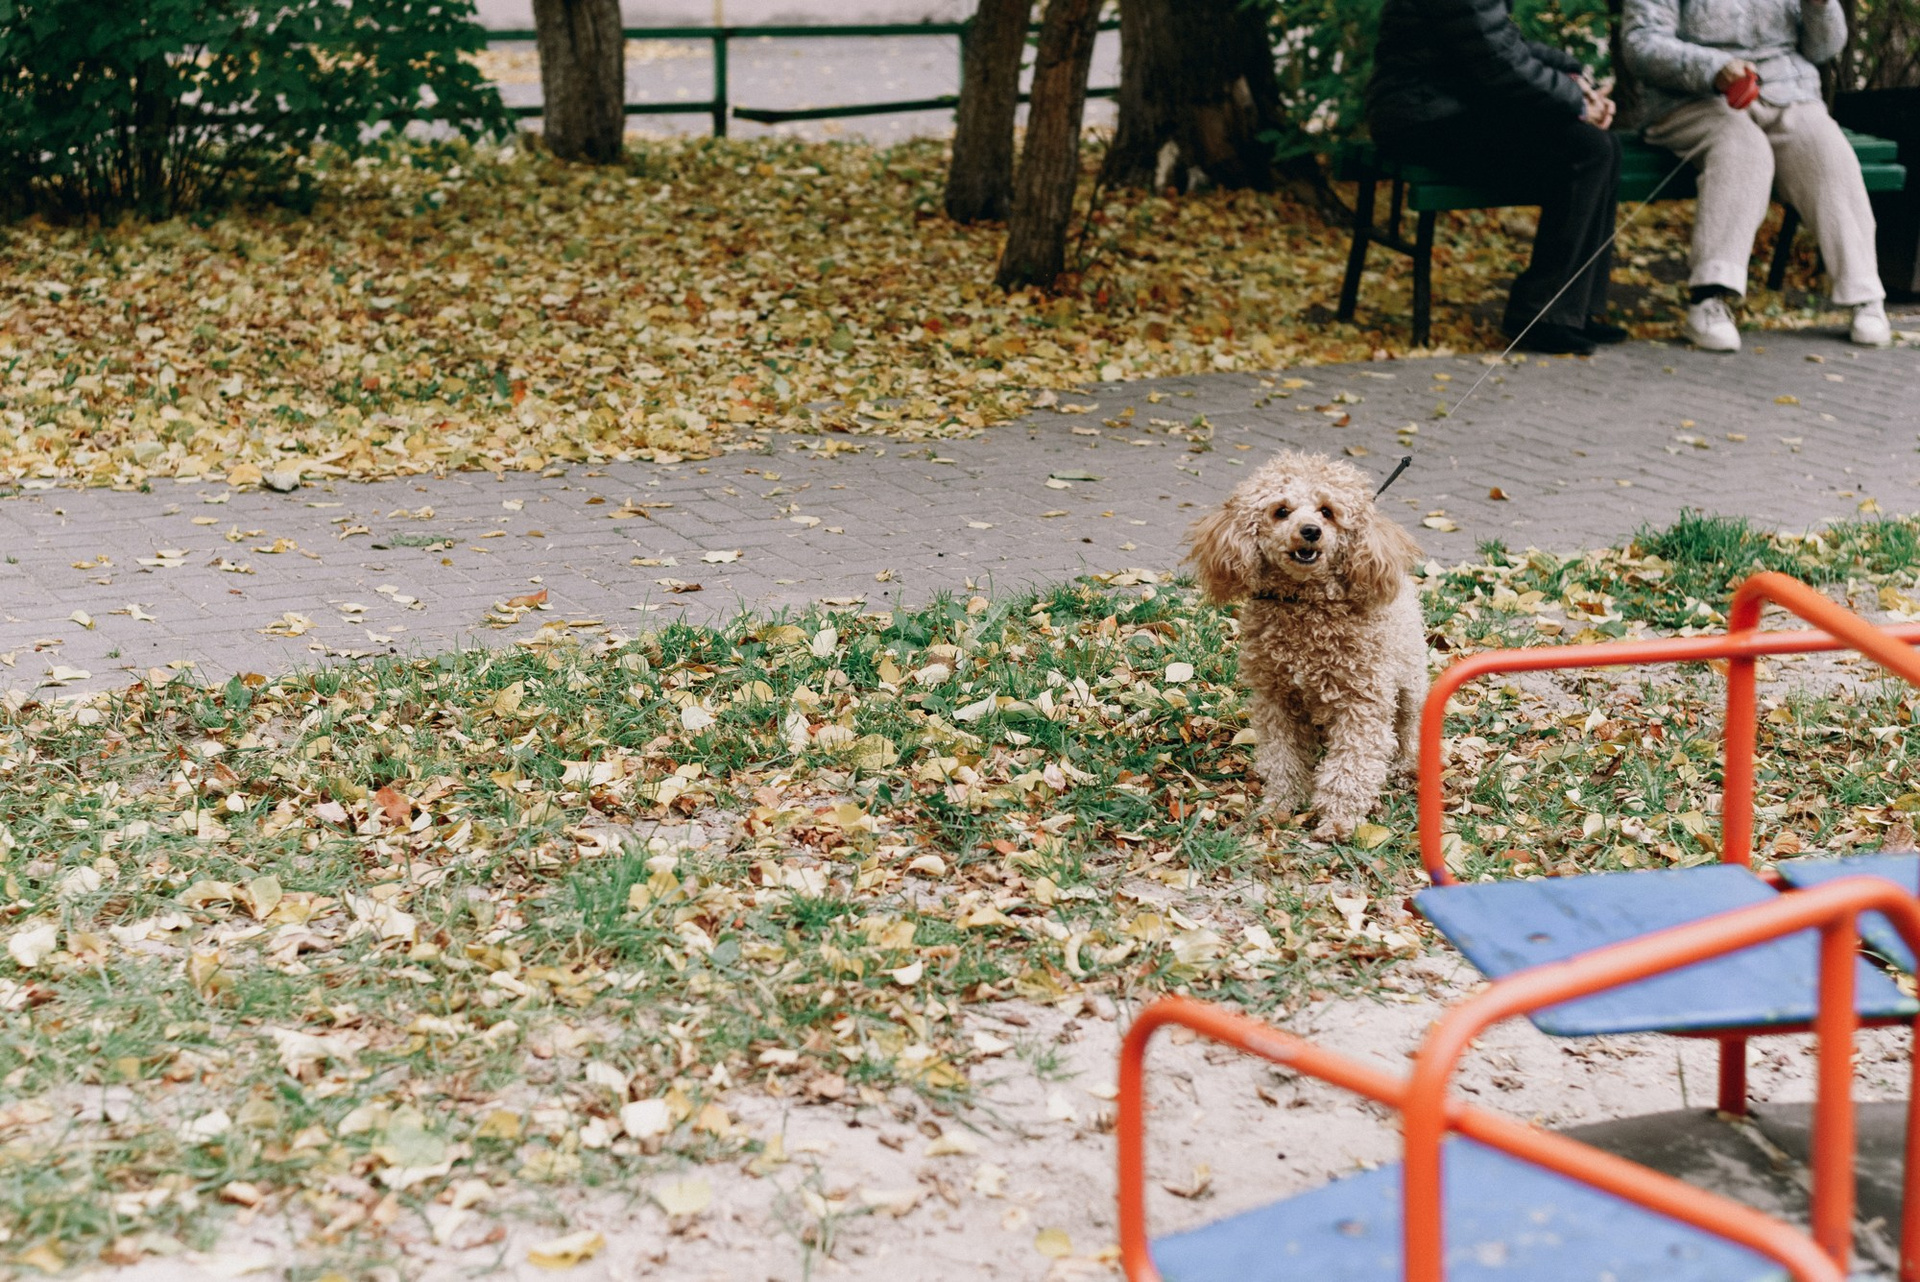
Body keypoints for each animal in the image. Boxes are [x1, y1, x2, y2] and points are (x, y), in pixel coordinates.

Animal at [1185, 451, 1426, 840]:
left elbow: (1351, 766)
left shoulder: (1362, 702)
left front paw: (1339, 821)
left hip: (1409, 682)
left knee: (1408, 728)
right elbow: (1283, 758)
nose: (1310, 530)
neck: (1307, 604)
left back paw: (1406, 768)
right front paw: (1280, 806)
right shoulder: (1277, 701)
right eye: (1281, 511)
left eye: (1327, 511)